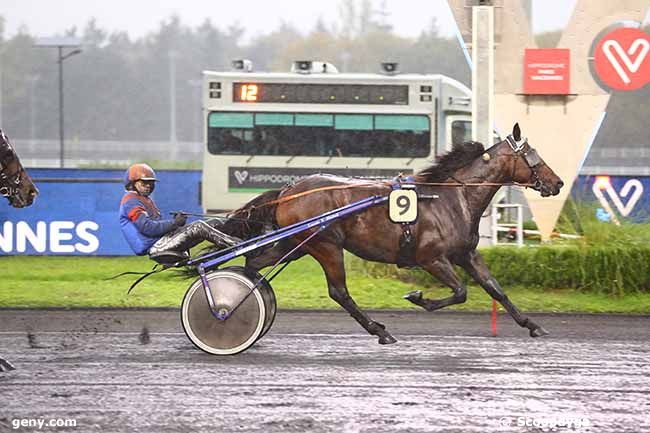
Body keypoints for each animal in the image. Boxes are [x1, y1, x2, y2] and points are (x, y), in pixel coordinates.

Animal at [221, 122, 560, 344]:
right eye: (533, 156)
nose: (557, 183)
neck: (454, 197)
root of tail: (288, 190)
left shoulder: (466, 254)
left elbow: (495, 289)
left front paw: (532, 325)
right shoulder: (431, 258)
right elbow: (461, 292)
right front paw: (418, 297)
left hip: (296, 244)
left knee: (254, 263)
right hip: (326, 245)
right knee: (339, 292)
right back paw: (380, 331)